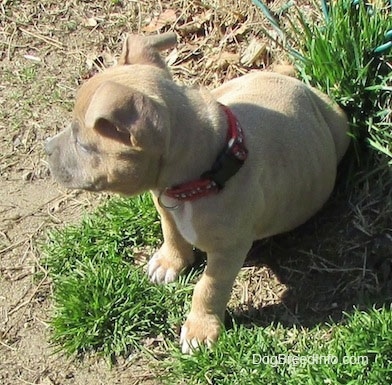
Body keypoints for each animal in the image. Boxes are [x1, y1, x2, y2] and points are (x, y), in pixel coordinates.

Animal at [46, 32, 350, 352]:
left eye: (81, 144)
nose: (45, 150)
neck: (204, 174)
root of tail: (295, 84)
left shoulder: (228, 251)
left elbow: (208, 287)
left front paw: (200, 329)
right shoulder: (164, 203)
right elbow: (171, 233)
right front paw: (169, 262)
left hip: (340, 126)